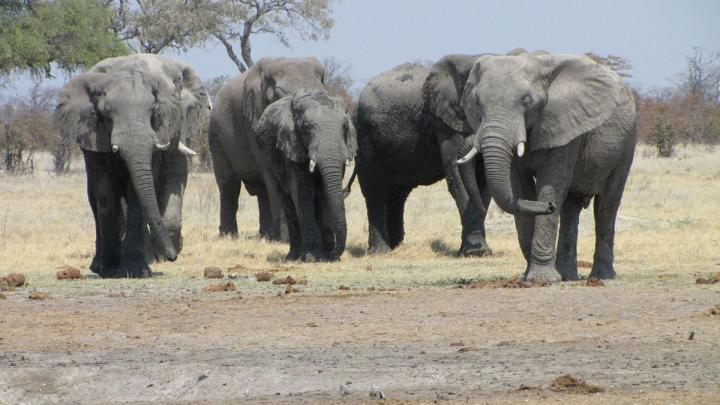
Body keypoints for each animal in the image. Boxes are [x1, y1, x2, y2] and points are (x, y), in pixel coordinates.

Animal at [55, 54, 211, 278]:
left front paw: (138, 270)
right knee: (95, 199)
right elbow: (105, 193)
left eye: (154, 111)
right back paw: (100, 265)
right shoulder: (95, 135)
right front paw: (110, 270)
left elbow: (142, 191)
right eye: (106, 113)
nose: (172, 257)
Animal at [209, 57, 326, 241]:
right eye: (280, 95)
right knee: (228, 184)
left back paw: (266, 235)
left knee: (261, 190)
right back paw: (229, 236)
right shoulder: (254, 121)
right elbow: (273, 174)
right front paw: (285, 240)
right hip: (216, 136)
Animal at [254, 89, 356, 261]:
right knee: (286, 200)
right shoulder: (291, 146)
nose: (335, 255)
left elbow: (324, 191)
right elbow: (302, 191)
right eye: (306, 128)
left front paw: (326, 257)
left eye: (345, 128)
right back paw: (293, 256)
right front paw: (310, 257)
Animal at [354, 55, 492, 256]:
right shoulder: (446, 123)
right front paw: (476, 253)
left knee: (397, 194)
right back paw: (381, 252)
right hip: (365, 137)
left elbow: (483, 181)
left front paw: (474, 251)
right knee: (375, 191)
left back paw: (396, 246)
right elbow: (457, 175)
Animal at [458, 52, 637, 282]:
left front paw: (541, 279)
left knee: (606, 205)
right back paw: (567, 275)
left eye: (527, 101)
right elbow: (519, 189)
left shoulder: (565, 124)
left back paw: (601, 276)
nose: (549, 206)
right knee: (570, 208)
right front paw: (530, 278)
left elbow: (550, 184)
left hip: (627, 142)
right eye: (478, 103)